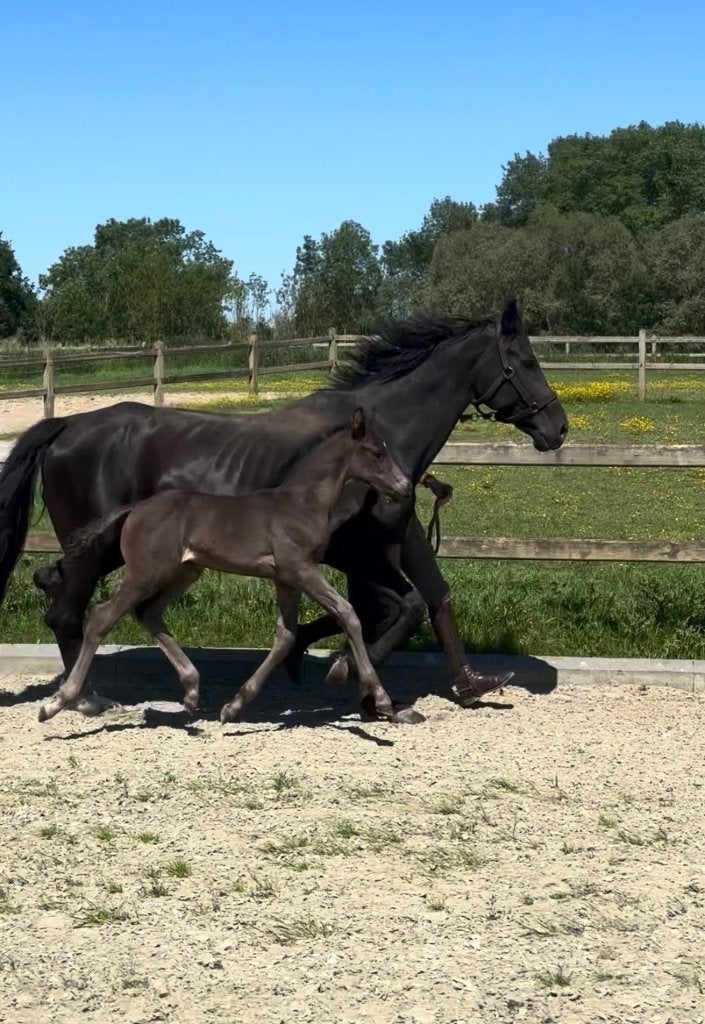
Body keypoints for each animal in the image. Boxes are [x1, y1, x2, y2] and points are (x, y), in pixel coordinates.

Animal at [37, 408, 421, 725]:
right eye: (377, 453)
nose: (404, 487)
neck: (300, 503)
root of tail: (134, 509)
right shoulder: (300, 569)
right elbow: (348, 613)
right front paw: (381, 699)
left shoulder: (286, 579)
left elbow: (285, 637)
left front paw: (234, 706)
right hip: (147, 573)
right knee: (101, 617)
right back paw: (60, 702)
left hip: (185, 572)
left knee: (148, 613)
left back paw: (191, 689)